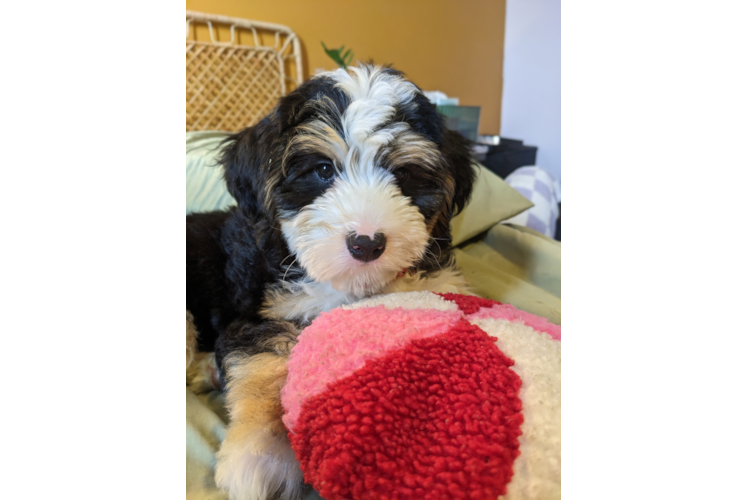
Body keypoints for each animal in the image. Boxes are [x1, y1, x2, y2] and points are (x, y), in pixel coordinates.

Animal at [188, 64, 480, 498]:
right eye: (323, 170)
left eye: (403, 174)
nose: (366, 243)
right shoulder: (257, 312)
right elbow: (264, 369)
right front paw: (262, 455)